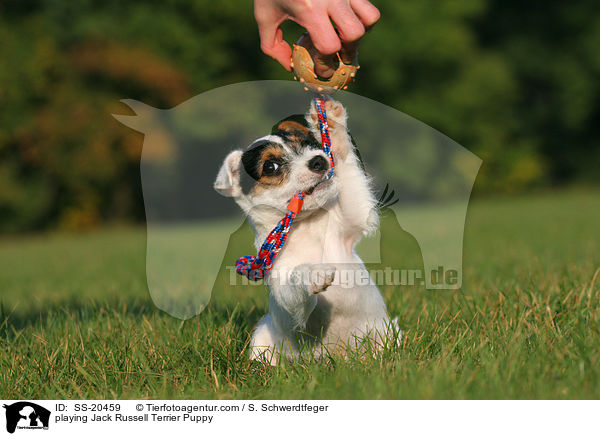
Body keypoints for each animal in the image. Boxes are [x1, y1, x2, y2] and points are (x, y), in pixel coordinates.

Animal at [214, 99, 398, 364]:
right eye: (271, 166)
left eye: (308, 144)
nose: (319, 160)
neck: (306, 228)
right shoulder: (285, 291)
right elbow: (296, 278)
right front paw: (314, 273)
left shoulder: (352, 216)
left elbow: (345, 163)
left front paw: (332, 121)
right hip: (262, 335)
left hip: (386, 332)